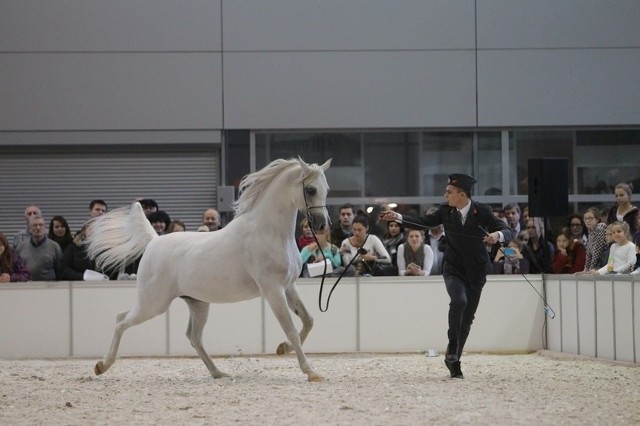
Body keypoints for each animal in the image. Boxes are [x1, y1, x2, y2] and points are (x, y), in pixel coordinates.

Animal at [85, 157, 332, 382]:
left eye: (326, 189)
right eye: (310, 189)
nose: (322, 225)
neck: (268, 232)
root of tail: (154, 241)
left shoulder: (288, 287)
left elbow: (308, 320)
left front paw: (283, 348)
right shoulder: (273, 291)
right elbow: (291, 329)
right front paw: (311, 372)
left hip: (197, 304)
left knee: (194, 337)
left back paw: (218, 372)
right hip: (153, 304)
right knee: (121, 320)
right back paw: (101, 366)